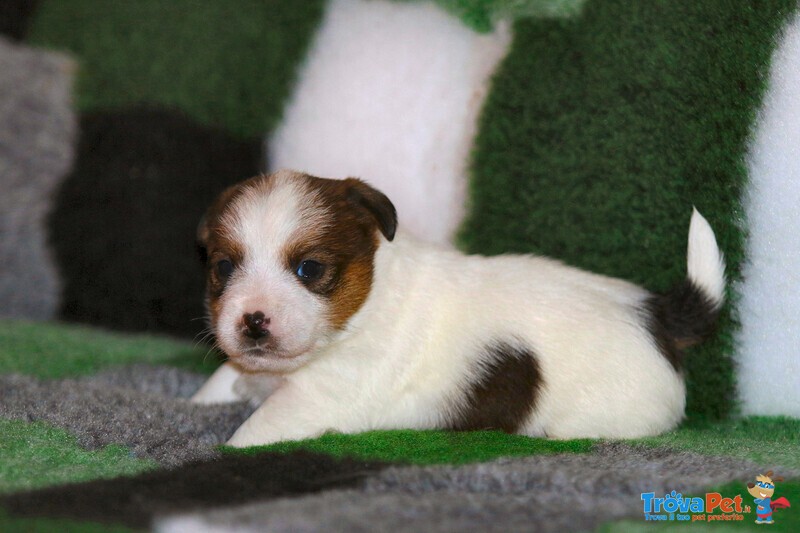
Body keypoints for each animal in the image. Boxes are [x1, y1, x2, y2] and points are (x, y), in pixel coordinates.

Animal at [189, 169, 724, 444]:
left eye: (309, 269)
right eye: (223, 267)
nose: (253, 321)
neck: (364, 305)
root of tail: (657, 314)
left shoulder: (317, 402)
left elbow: (253, 433)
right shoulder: (249, 366)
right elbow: (222, 380)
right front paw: (201, 399)